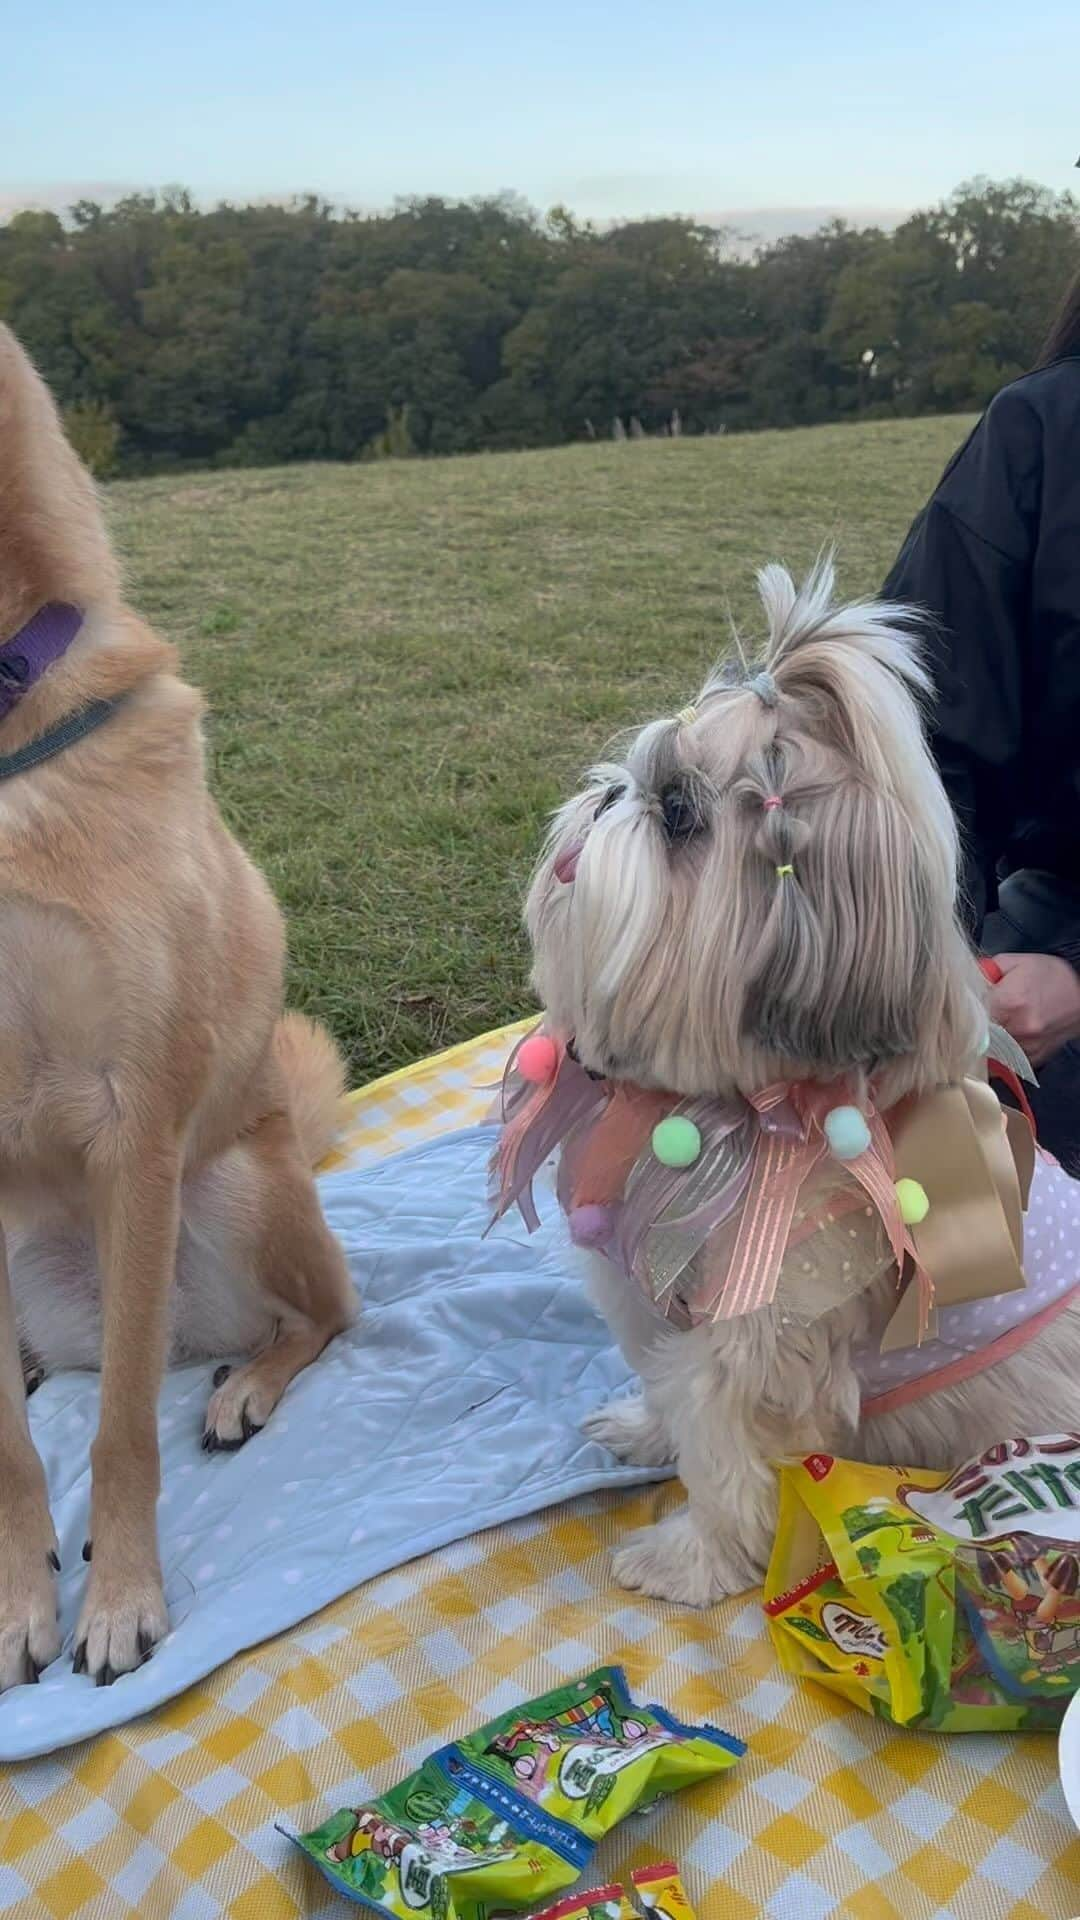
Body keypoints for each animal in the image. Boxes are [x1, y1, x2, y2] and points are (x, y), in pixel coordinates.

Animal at [499, 560, 1080, 1605]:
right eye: (635, 778)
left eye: (680, 814)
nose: (608, 797)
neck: (733, 1114)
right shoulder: (658, 1295)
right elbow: (665, 1384)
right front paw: (640, 1430)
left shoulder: (761, 1342)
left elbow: (729, 1462)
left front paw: (687, 1560)